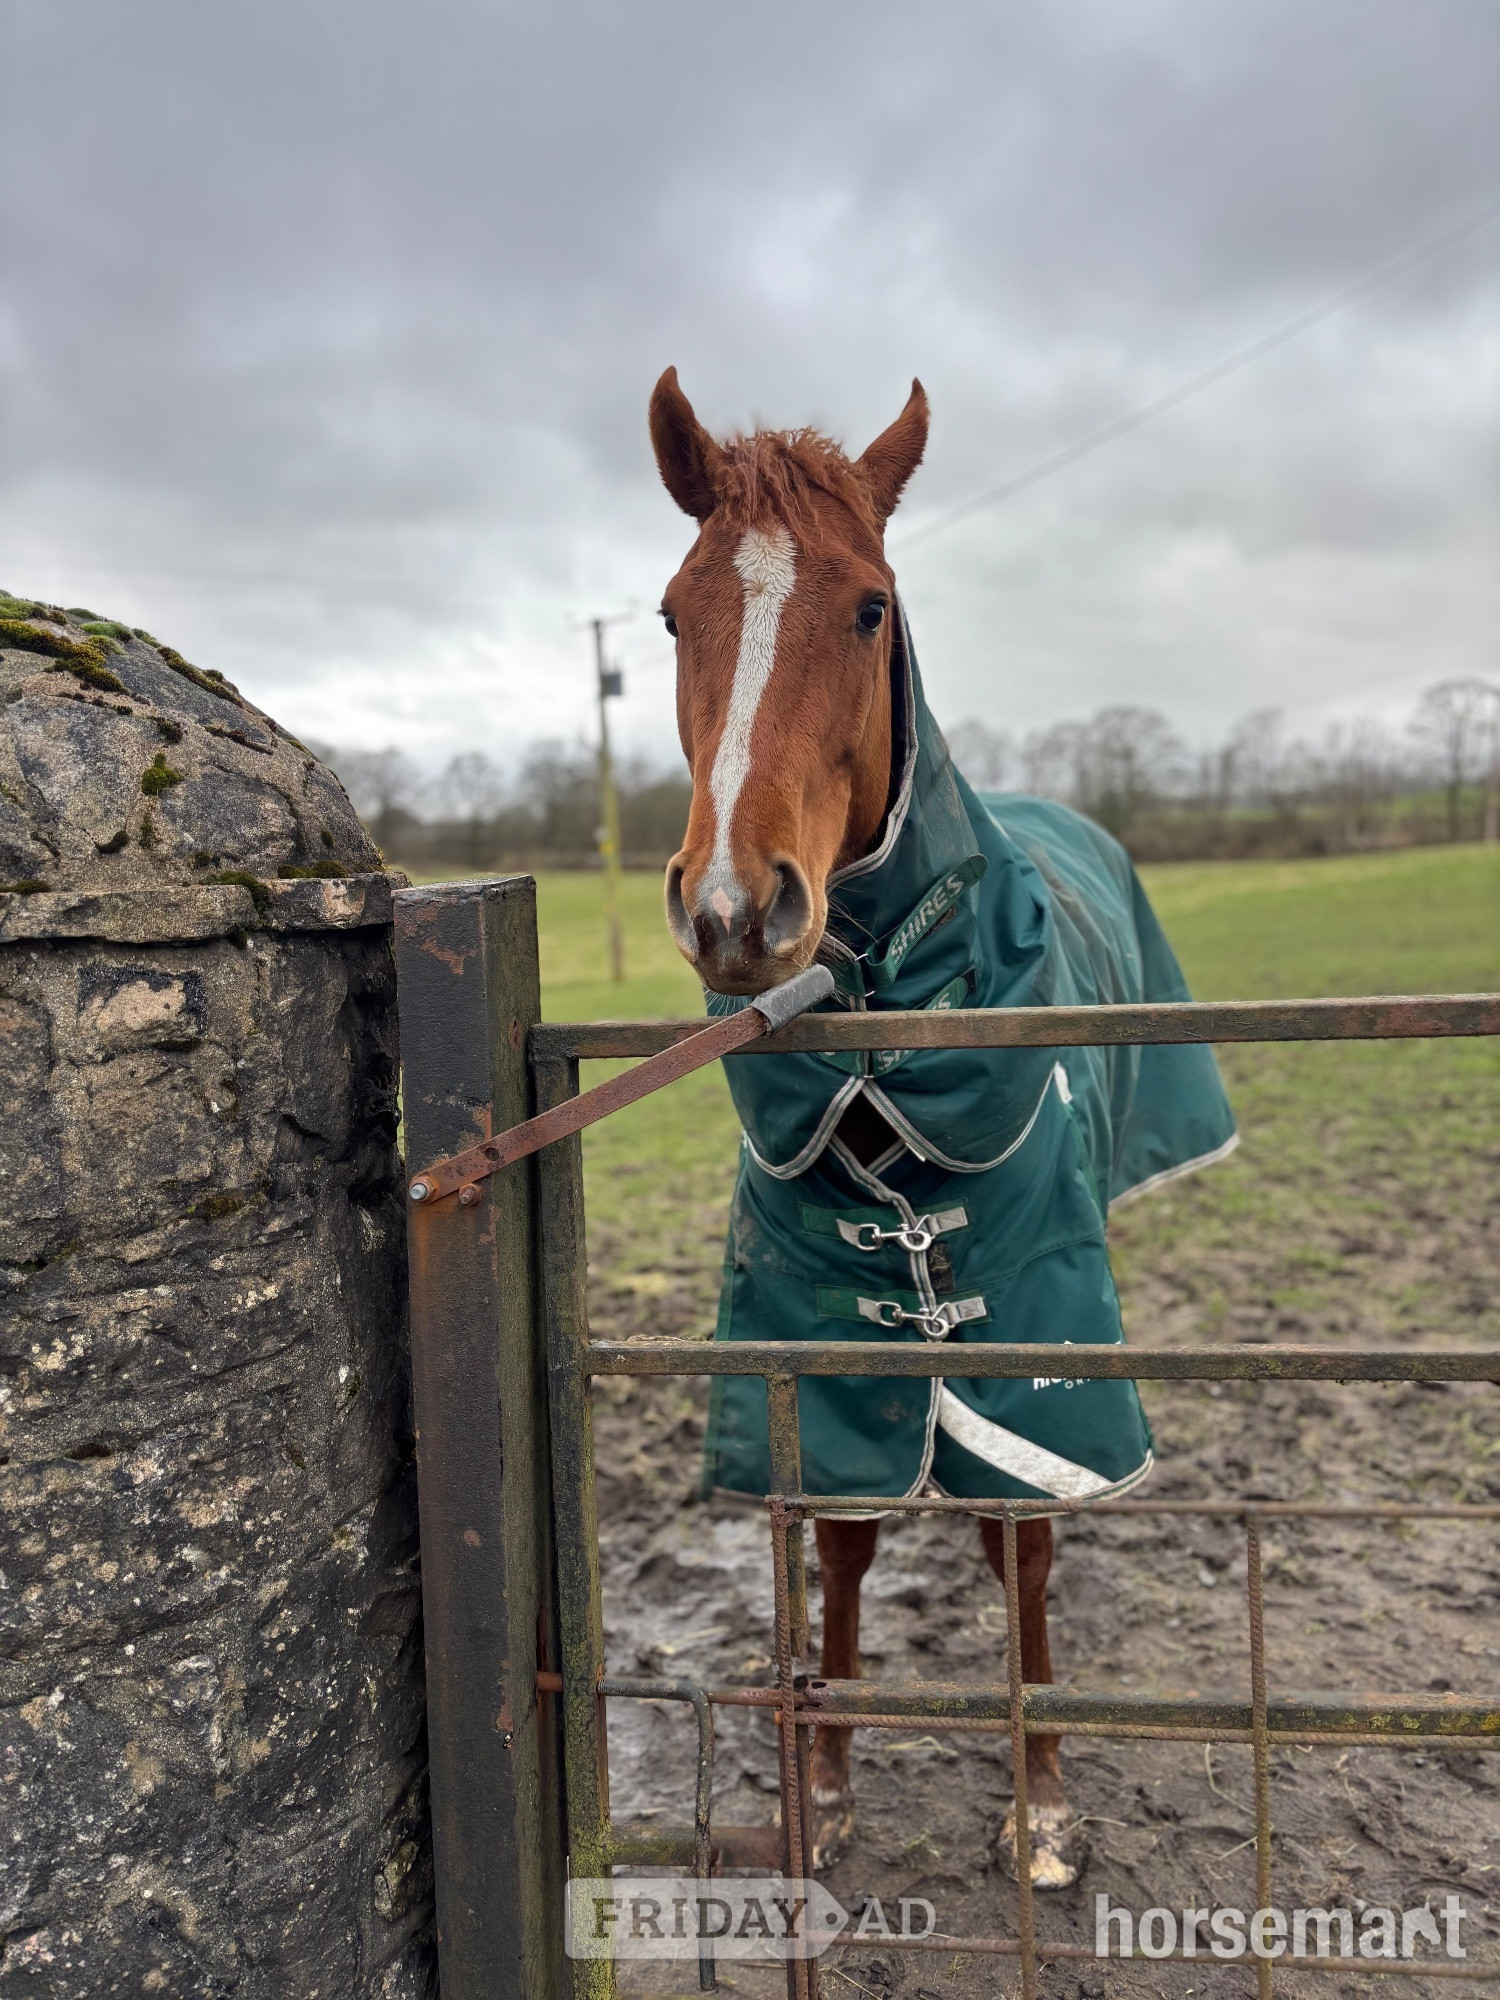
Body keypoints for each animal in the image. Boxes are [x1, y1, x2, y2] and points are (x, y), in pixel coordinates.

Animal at [648, 367, 1237, 1890]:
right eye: (675, 613)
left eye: (869, 606)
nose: (736, 910)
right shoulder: (806, 1347)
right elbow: (844, 1541)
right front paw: (829, 1782)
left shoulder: (1039, 1329)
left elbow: (1022, 1540)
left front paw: (1040, 1797)